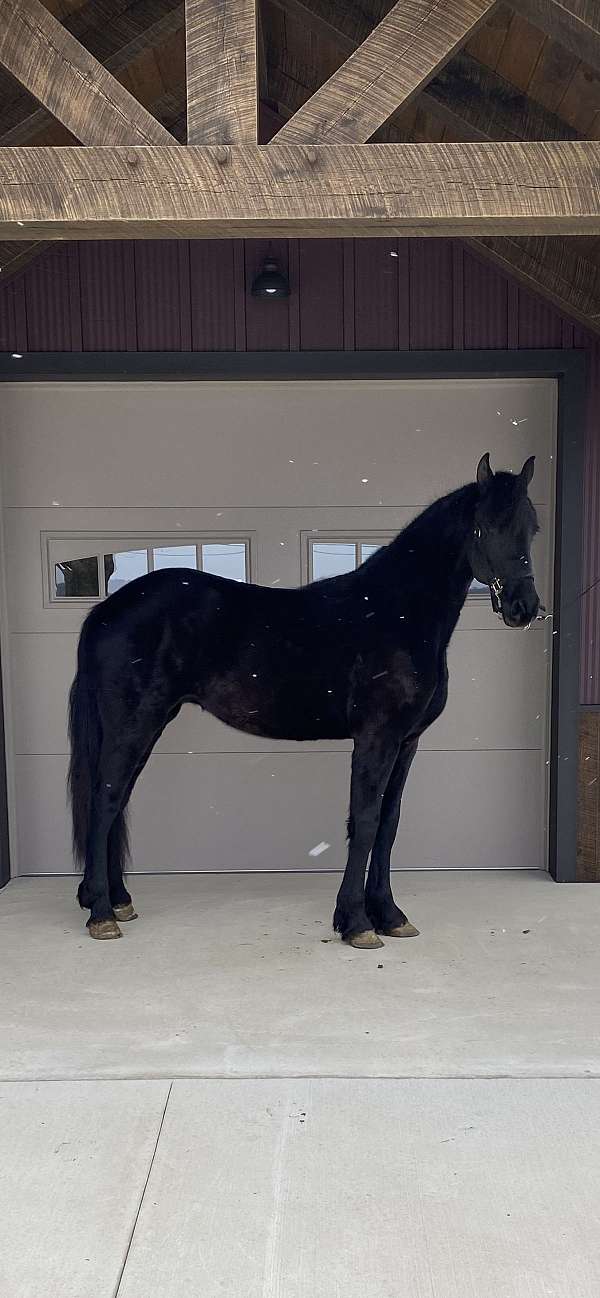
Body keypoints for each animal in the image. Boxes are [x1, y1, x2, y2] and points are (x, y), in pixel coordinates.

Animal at [67, 454, 540, 944]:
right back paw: (100, 913)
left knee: (116, 802)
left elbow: (389, 824)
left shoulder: (407, 742)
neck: (398, 612)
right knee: (105, 802)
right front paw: (356, 922)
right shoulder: (376, 738)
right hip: (132, 724)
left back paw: (119, 901)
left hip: (148, 724)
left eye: (533, 527)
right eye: (485, 526)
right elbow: (365, 821)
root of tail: (105, 610)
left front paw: (390, 915)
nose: (523, 607)